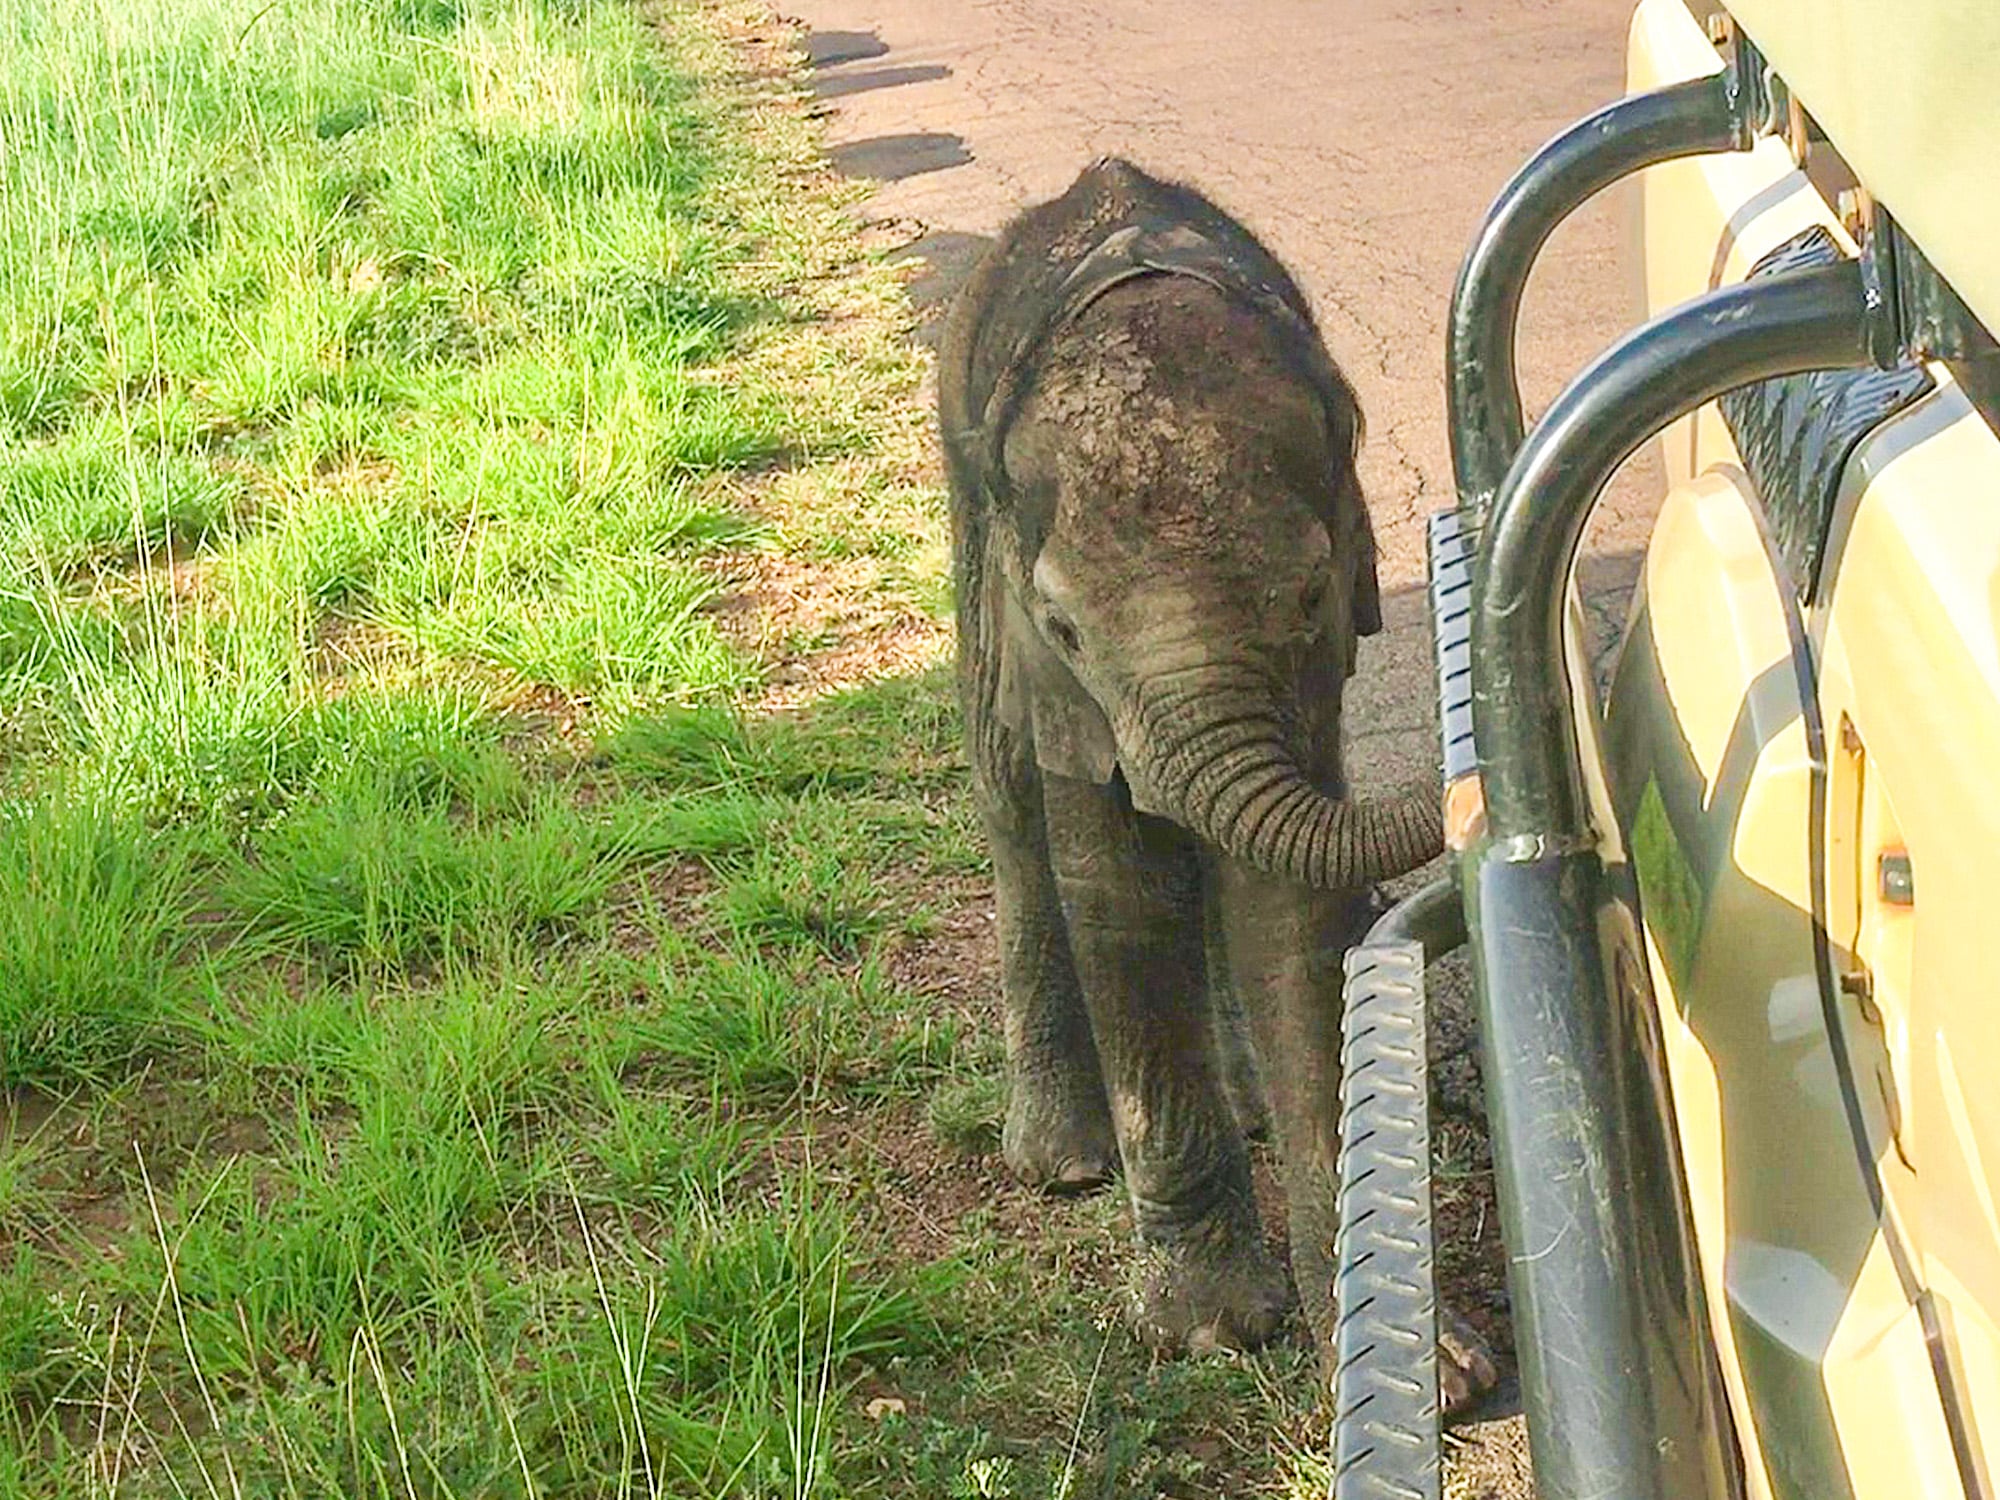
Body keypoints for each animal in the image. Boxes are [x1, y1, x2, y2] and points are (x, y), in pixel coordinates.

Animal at [936, 157, 1495, 1409]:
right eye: (1067, 630)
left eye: (1308, 598)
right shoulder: (1048, 658)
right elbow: (1118, 895)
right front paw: (1206, 1333)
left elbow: (1287, 913)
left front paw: (1420, 1375)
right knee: (1005, 793)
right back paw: (1058, 1161)